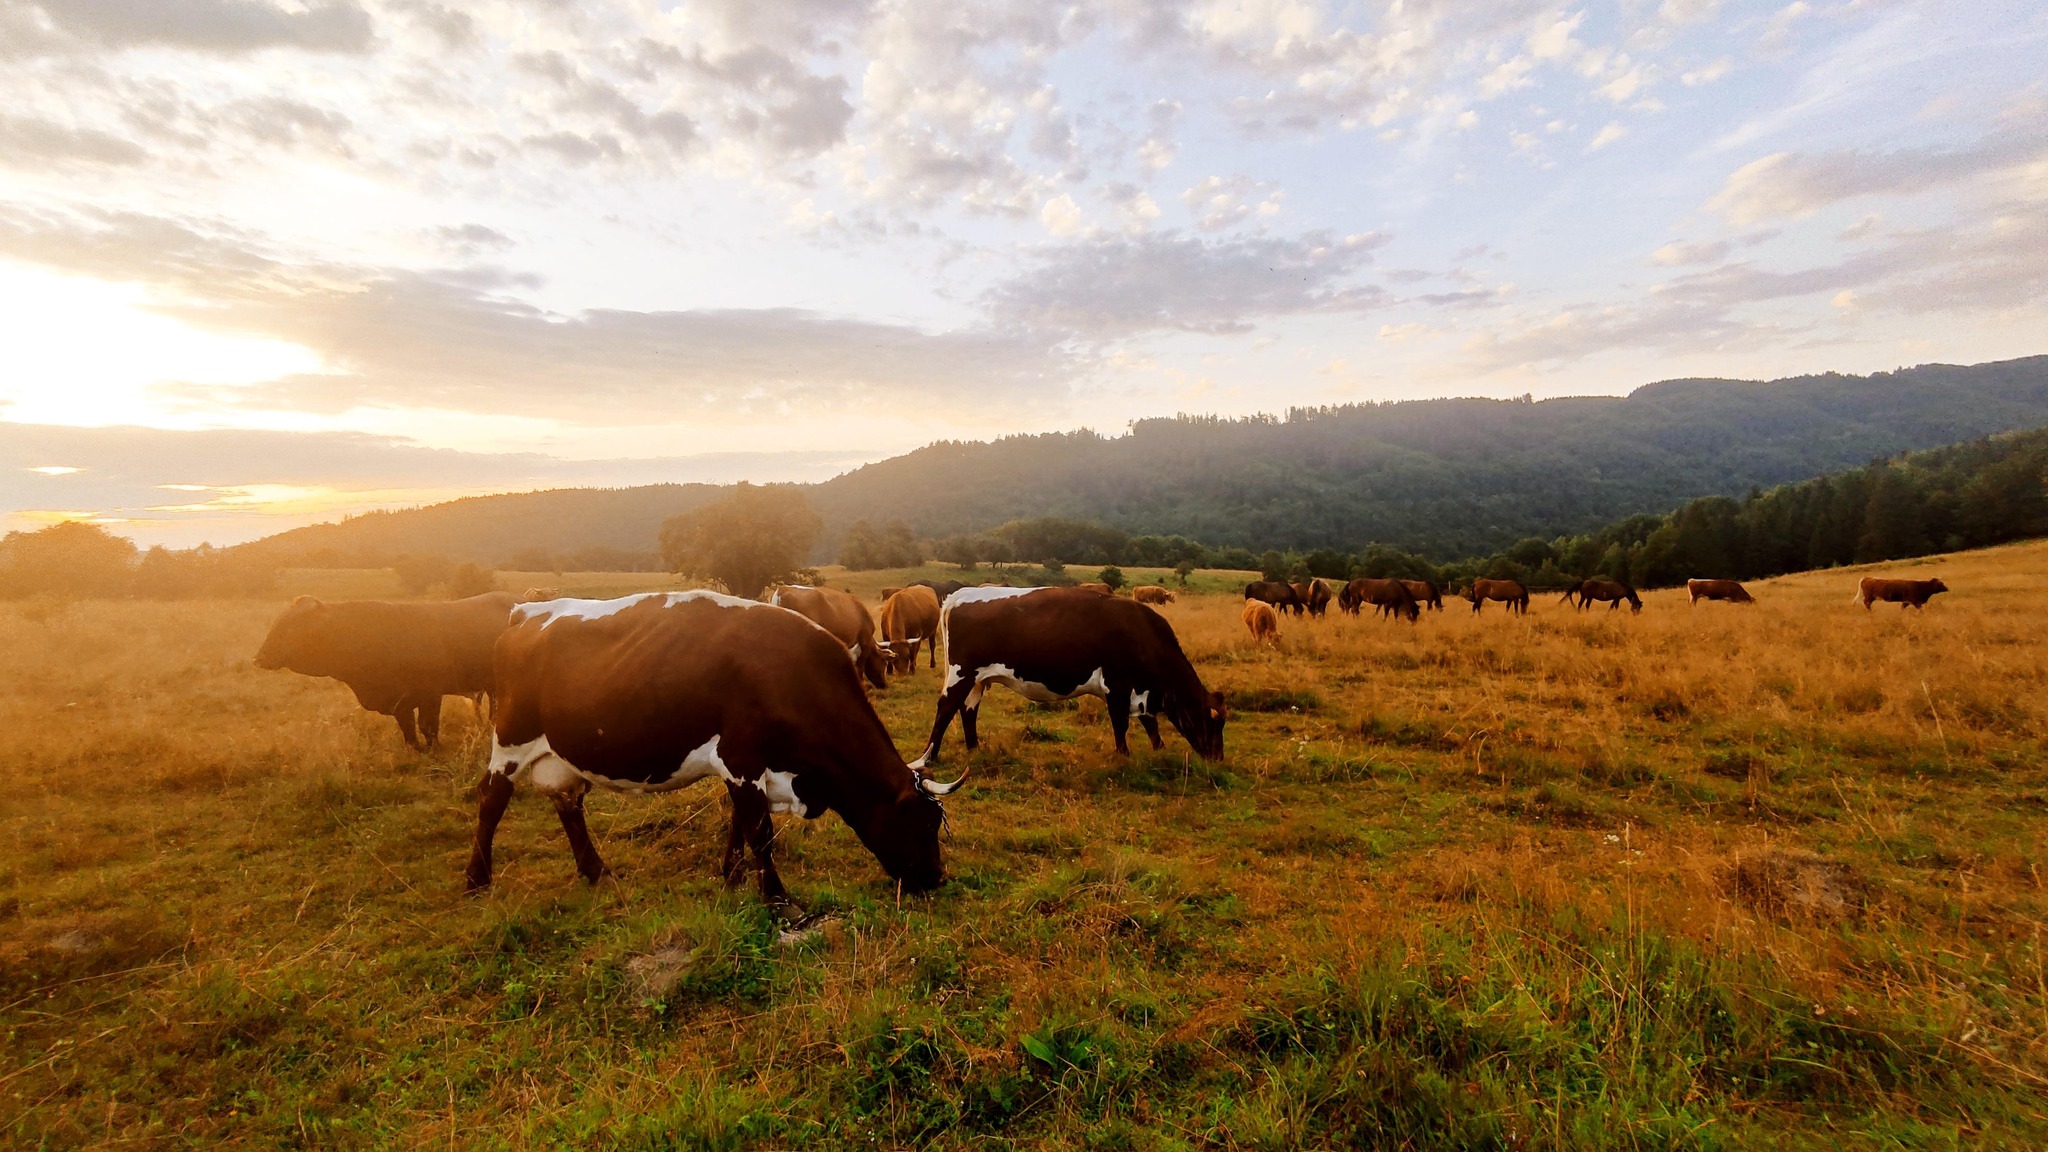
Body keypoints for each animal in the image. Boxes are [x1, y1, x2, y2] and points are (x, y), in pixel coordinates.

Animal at [254, 586, 516, 750]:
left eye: (292, 626)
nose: (259, 657)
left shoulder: (430, 694)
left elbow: (427, 727)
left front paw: (434, 750)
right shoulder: (401, 703)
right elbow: (408, 731)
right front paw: (416, 751)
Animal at [468, 590, 954, 906]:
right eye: (924, 824)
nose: (937, 878)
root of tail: (527, 611)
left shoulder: (749, 769)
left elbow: (741, 823)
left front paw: (733, 876)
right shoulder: (742, 759)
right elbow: (760, 831)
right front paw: (777, 899)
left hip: (559, 753)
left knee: (568, 805)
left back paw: (596, 871)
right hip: (510, 737)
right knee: (492, 800)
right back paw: (477, 878)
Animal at [921, 586, 1220, 766]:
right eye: (1213, 720)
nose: (1218, 758)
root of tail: (960, 594)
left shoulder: (1139, 690)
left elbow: (1150, 724)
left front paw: (1159, 750)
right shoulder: (1117, 686)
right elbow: (1121, 724)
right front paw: (1123, 756)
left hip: (976, 680)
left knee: (968, 710)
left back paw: (974, 750)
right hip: (961, 673)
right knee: (946, 707)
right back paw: (930, 756)